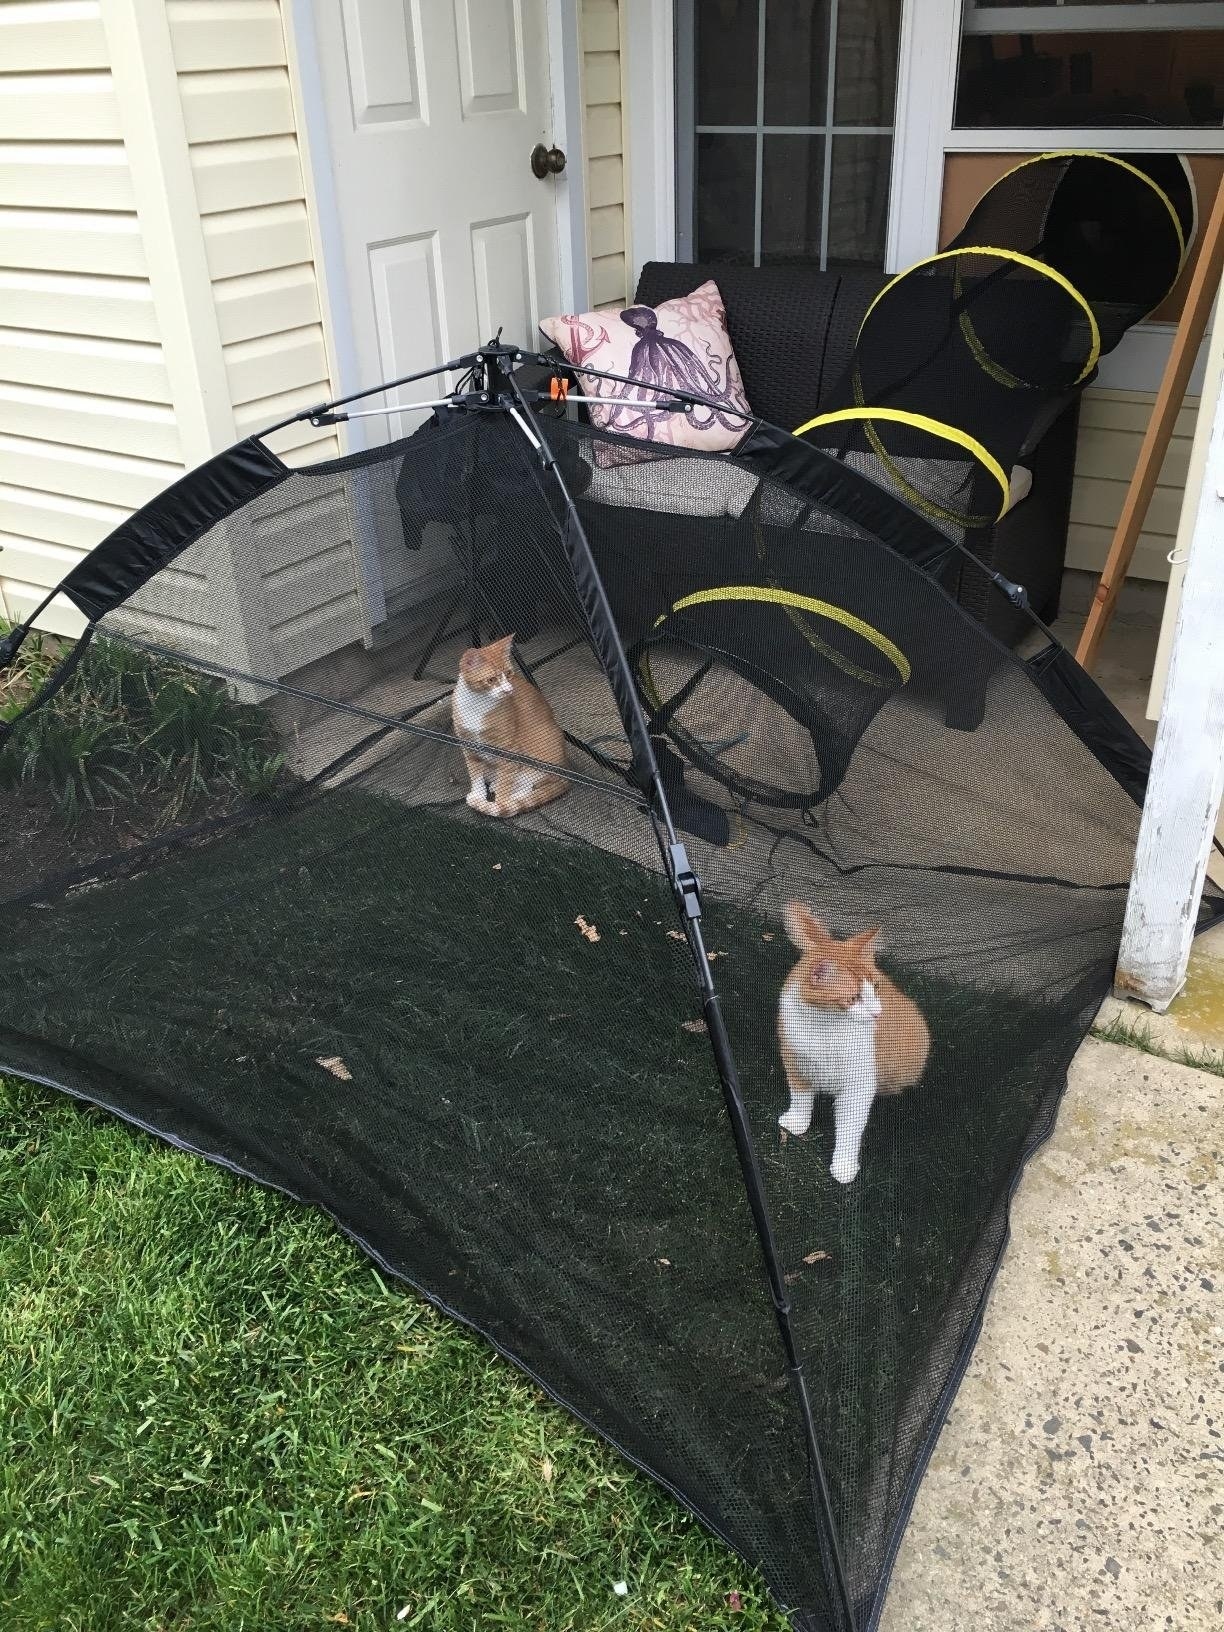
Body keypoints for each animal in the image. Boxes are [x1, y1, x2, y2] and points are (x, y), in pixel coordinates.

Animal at [450, 633, 571, 816]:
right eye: (491, 679)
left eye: (508, 673)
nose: (508, 690)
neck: (478, 705)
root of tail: (565, 771)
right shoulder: (468, 745)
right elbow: (475, 774)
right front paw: (478, 795)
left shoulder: (508, 749)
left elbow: (505, 784)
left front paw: (500, 804)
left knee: (530, 783)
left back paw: (514, 797)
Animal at [780, 907, 933, 1188]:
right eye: (854, 998)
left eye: (876, 987)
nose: (877, 1013)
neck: (825, 1027)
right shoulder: (796, 1063)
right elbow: (800, 1099)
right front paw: (798, 1122)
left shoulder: (858, 1087)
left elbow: (849, 1130)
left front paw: (843, 1165)